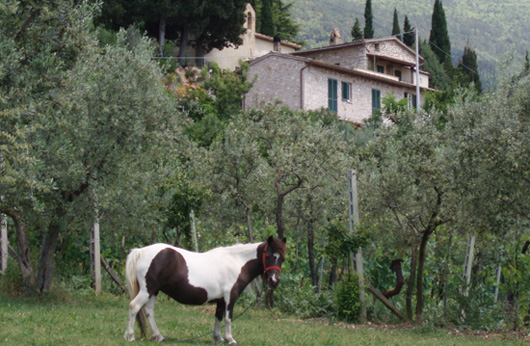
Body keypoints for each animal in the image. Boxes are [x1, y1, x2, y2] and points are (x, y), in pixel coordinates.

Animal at [122, 235, 286, 344]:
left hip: (154, 291)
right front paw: (230, 339)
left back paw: (158, 337)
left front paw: (217, 338)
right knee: (134, 306)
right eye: (269, 256)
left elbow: (218, 317)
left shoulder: (221, 300)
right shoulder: (230, 297)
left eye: (282, 258)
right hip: (147, 290)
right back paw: (130, 336)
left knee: (149, 311)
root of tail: (140, 251)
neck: (236, 262)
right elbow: (228, 317)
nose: (274, 281)